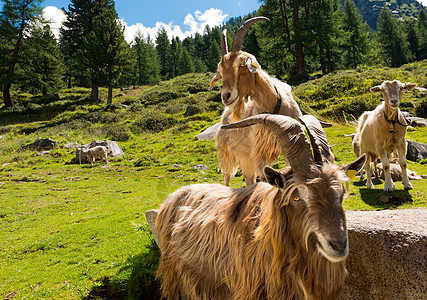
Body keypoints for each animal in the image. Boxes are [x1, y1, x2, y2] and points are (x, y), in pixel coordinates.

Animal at [211, 17, 304, 185]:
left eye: (241, 64)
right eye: (220, 71)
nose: (225, 96)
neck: (275, 105)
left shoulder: (288, 143)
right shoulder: (259, 151)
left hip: (246, 156)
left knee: (249, 178)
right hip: (228, 152)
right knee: (228, 176)